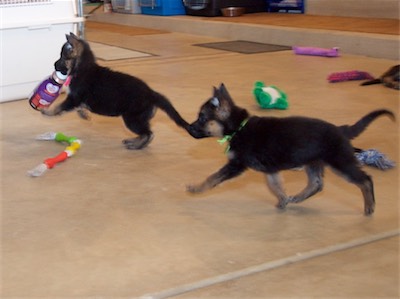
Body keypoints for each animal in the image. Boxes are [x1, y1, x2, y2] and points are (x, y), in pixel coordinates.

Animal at [42, 32, 189, 150]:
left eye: (63, 57)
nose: (54, 65)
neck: (83, 67)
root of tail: (152, 93)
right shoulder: (77, 100)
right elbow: (79, 108)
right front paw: (84, 115)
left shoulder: (73, 98)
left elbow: (59, 107)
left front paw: (47, 112)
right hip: (138, 119)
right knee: (147, 133)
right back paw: (135, 142)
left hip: (132, 119)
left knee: (149, 134)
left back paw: (136, 145)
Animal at [187, 83, 394, 217]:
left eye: (202, 118)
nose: (189, 128)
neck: (239, 127)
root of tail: (341, 129)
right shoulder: (270, 170)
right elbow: (275, 186)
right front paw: (283, 200)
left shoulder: (236, 165)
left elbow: (212, 177)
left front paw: (196, 188)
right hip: (313, 162)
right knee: (316, 184)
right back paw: (298, 198)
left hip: (340, 162)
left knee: (365, 179)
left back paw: (370, 206)